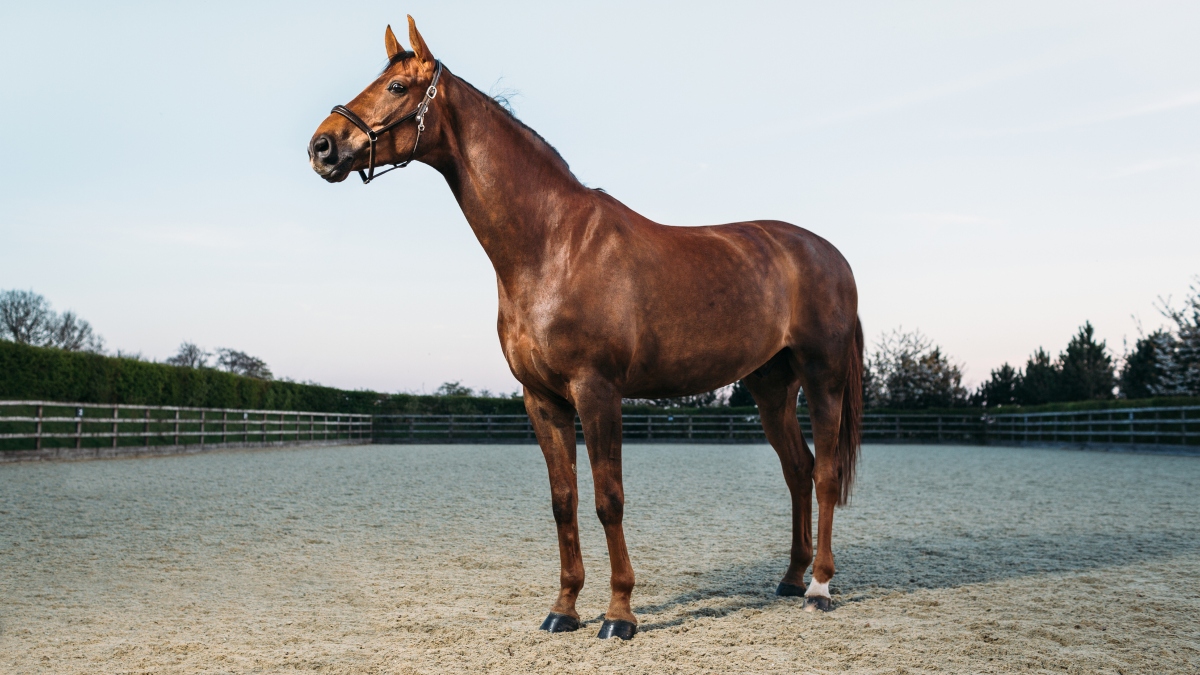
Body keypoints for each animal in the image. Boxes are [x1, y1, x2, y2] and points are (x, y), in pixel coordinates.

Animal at [309, 15, 864, 634]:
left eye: (397, 87)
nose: (322, 146)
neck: (552, 245)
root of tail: (830, 255)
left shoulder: (597, 391)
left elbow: (607, 498)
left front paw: (619, 613)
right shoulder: (543, 399)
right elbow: (563, 501)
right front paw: (564, 608)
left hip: (823, 378)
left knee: (824, 474)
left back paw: (819, 586)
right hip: (771, 386)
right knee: (798, 471)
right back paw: (790, 579)